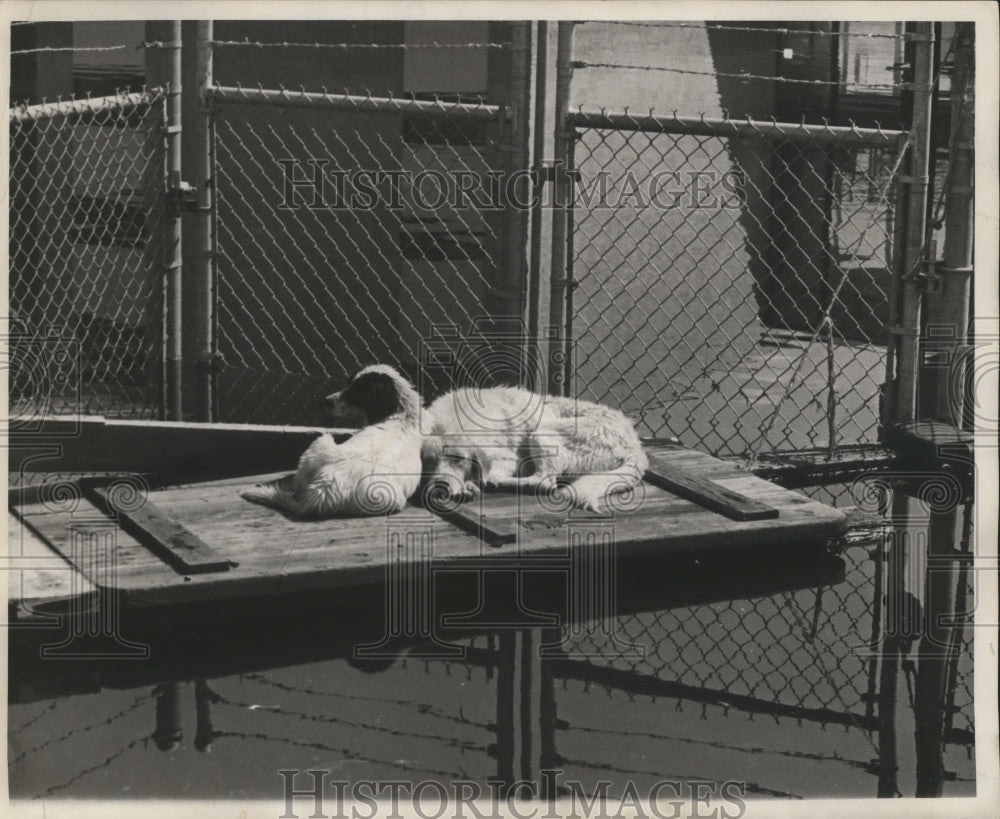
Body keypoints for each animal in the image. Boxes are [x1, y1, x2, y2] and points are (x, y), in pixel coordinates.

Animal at [241, 366, 422, 520]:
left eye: (356, 392)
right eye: (348, 384)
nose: (325, 401)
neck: (403, 415)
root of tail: (323, 491)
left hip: (321, 440)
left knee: (297, 485)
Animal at [422, 386, 648, 512]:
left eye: (458, 459)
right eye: (429, 461)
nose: (440, 486)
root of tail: (636, 447)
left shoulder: (505, 457)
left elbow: (487, 470)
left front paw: (469, 484)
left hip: (541, 431)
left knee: (545, 482)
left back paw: (498, 483)